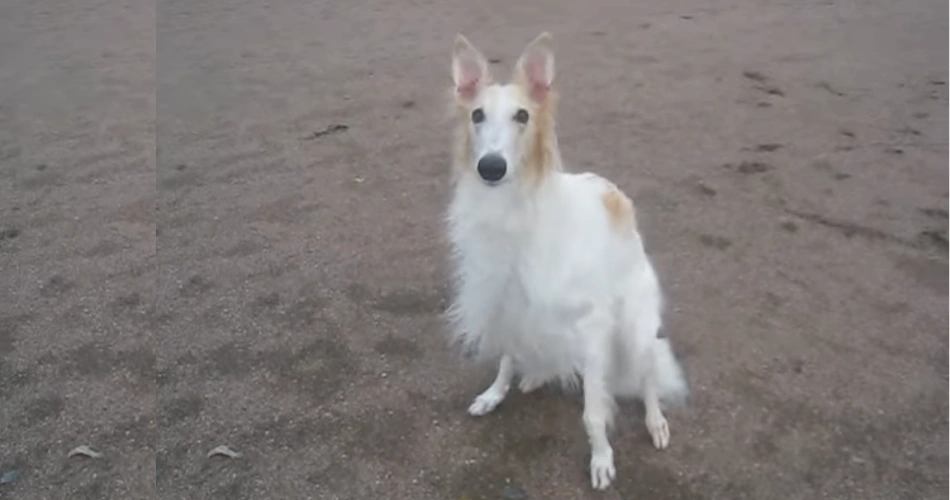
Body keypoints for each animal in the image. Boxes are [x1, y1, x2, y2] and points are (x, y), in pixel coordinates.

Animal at [442, 33, 688, 490]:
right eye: (477, 115)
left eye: (523, 115)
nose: (491, 168)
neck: (515, 212)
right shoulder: (510, 302)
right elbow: (506, 360)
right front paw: (493, 395)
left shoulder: (592, 327)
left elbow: (593, 414)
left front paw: (602, 459)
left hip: (636, 326)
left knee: (648, 377)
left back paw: (655, 421)